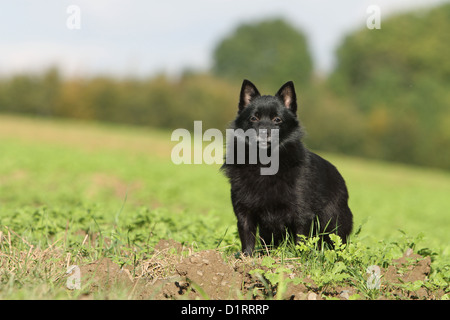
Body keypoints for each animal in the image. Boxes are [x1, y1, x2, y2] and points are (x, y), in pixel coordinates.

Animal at [223, 79, 354, 255]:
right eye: (253, 118)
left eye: (277, 119)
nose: (264, 133)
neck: (265, 163)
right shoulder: (244, 211)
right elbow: (247, 236)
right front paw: (246, 257)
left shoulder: (301, 213)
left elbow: (301, 241)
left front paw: (299, 258)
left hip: (333, 223)